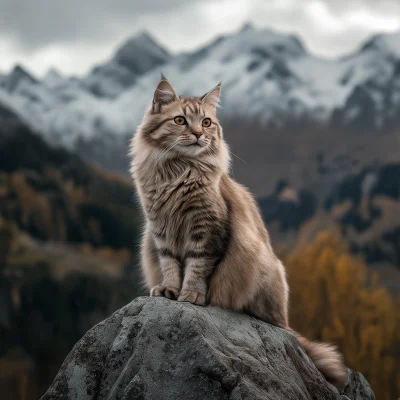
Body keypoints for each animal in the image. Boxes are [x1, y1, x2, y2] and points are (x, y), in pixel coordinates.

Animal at [130, 75, 346, 388]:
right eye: (180, 120)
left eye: (206, 122)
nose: (198, 134)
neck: (178, 171)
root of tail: (285, 322)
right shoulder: (160, 230)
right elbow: (170, 264)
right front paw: (169, 289)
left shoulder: (206, 230)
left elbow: (196, 267)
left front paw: (191, 295)